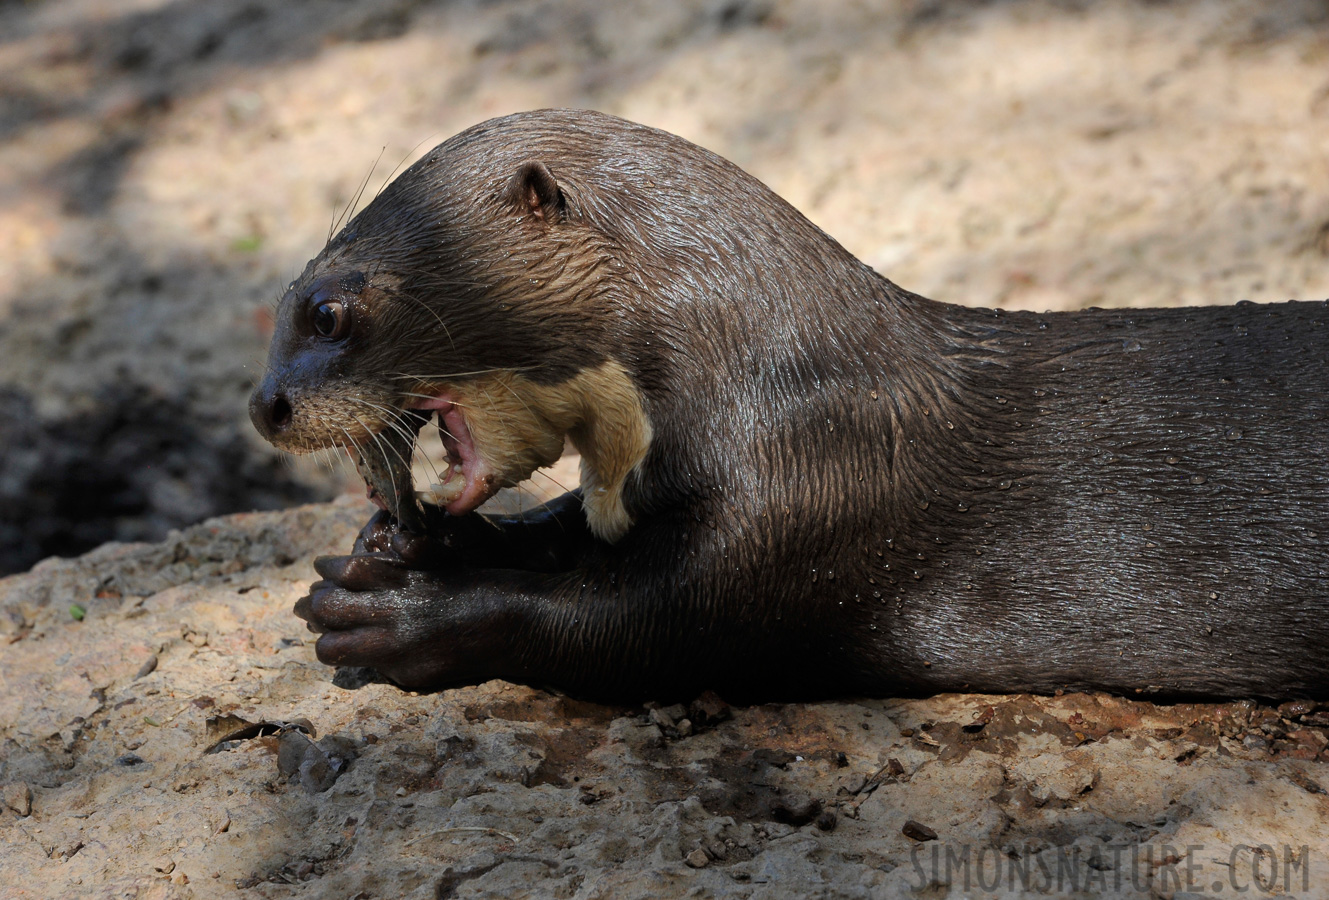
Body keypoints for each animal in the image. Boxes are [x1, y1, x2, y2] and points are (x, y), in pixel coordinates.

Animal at [249, 107, 1329, 701]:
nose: (264, 406)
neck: (774, 374)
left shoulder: (815, 491)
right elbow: (570, 528)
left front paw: (406, 617)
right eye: (284, 296)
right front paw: (422, 546)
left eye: (328, 308)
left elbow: (641, 625)